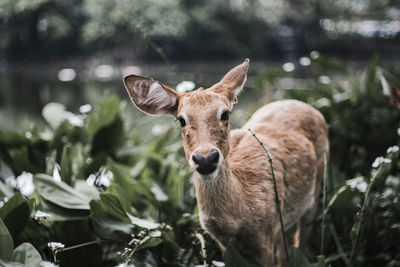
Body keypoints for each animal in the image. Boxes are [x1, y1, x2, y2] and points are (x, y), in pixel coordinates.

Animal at [123, 59, 330, 266]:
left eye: (225, 114)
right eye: (181, 120)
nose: (205, 158)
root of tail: (302, 103)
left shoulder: (265, 238)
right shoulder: (226, 245)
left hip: (316, 189)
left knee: (301, 244)